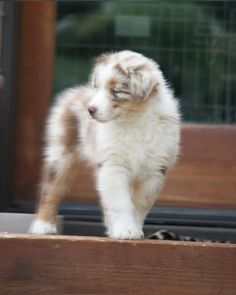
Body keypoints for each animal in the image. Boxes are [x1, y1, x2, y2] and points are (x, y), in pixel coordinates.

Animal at [30, 50, 181, 240]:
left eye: (116, 90)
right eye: (97, 87)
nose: (90, 110)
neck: (134, 119)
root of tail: (76, 91)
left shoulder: (154, 170)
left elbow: (139, 204)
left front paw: (133, 229)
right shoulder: (113, 166)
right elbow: (120, 202)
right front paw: (125, 229)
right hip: (61, 153)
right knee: (51, 190)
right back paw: (43, 226)